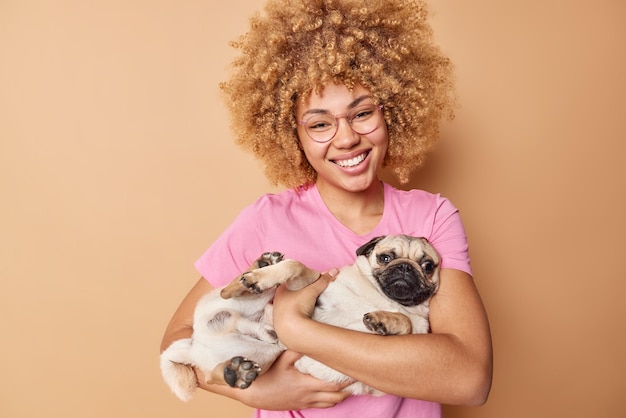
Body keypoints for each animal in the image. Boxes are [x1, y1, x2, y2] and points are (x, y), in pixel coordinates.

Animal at [161, 235, 438, 402]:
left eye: (427, 266)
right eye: (385, 257)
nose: (405, 268)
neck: (383, 297)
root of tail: (195, 344)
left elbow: (407, 321)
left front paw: (383, 320)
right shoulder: (308, 284)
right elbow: (295, 265)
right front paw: (265, 274)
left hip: (263, 358)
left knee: (211, 376)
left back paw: (235, 372)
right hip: (244, 304)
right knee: (227, 291)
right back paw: (255, 272)